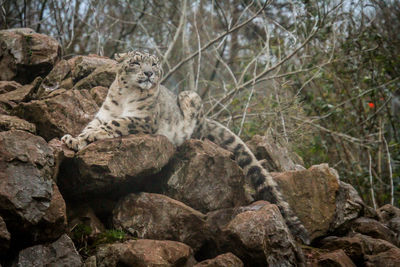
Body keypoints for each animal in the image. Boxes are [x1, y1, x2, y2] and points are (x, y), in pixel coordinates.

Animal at [61, 50, 310, 245]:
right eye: (136, 62)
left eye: (154, 64)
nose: (149, 74)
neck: (125, 97)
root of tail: (206, 118)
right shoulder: (102, 114)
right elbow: (92, 125)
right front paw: (73, 139)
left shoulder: (141, 120)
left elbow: (115, 124)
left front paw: (88, 136)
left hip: (190, 98)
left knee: (196, 131)